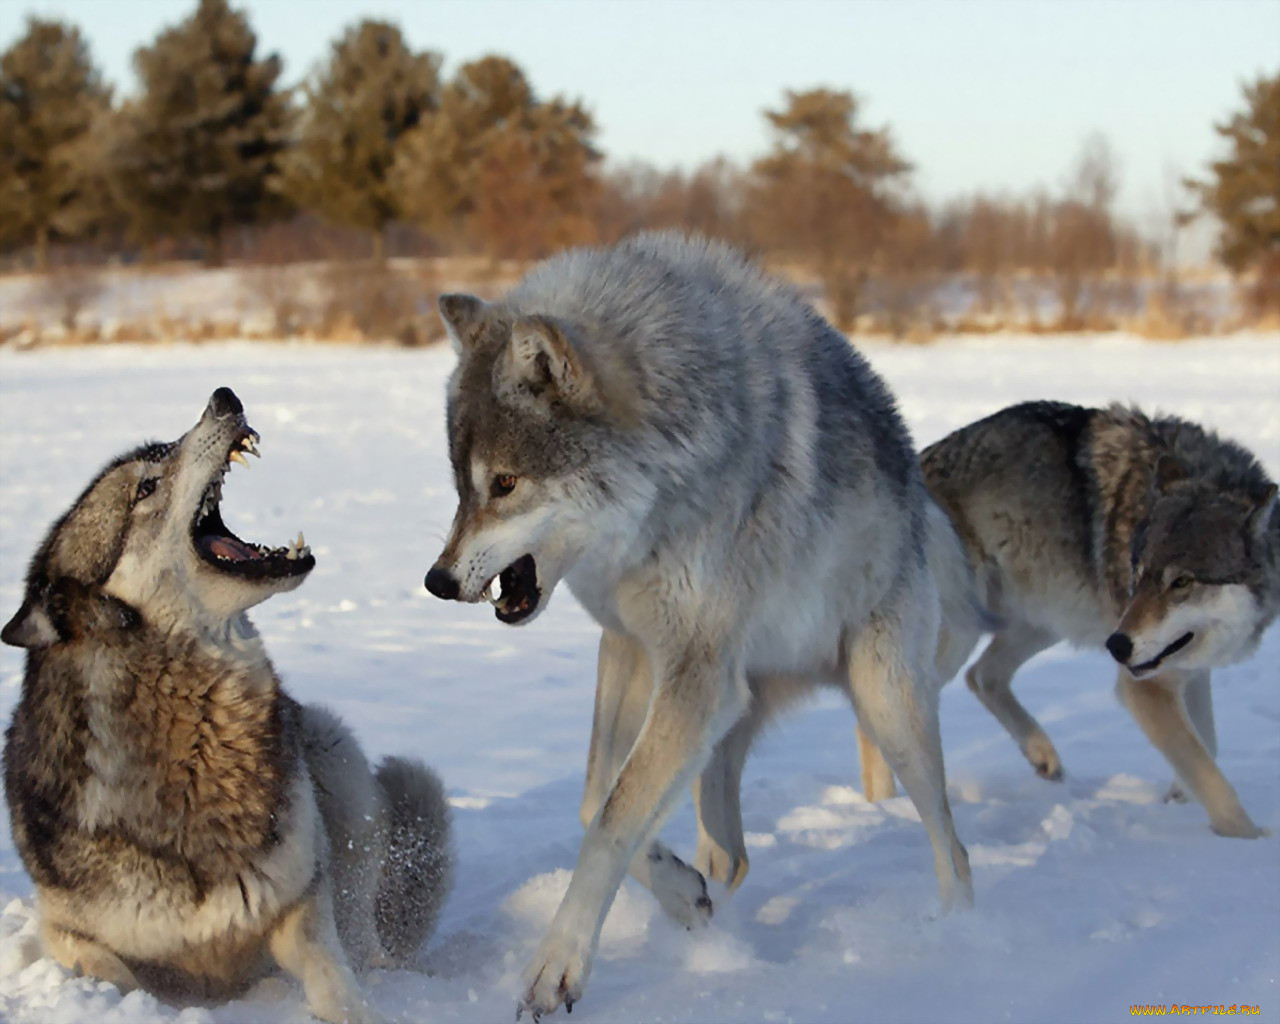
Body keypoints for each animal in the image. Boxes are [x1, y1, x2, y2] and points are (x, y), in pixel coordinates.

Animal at [2, 389, 453, 1024]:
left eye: (162, 449)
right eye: (146, 486)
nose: (224, 397)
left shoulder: (302, 897)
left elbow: (332, 972)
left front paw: (355, 1009)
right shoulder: (66, 932)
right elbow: (114, 975)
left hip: (332, 750)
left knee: (366, 937)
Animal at [424, 234, 972, 1024]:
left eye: (504, 484)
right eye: (461, 489)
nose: (437, 581)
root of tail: (920, 492)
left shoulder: (692, 673)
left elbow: (613, 819)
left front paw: (555, 969)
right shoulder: (632, 648)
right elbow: (596, 802)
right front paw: (682, 894)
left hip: (882, 706)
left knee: (953, 849)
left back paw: (958, 944)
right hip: (725, 727)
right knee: (733, 856)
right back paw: (713, 929)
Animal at [926, 399, 1274, 839]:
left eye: (1181, 582)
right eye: (1137, 574)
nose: (1117, 645)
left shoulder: (1188, 669)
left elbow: (1206, 746)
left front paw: (1179, 797)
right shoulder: (1145, 686)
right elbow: (1212, 777)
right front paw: (1249, 841)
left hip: (1043, 622)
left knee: (981, 676)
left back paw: (1042, 755)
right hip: (960, 633)